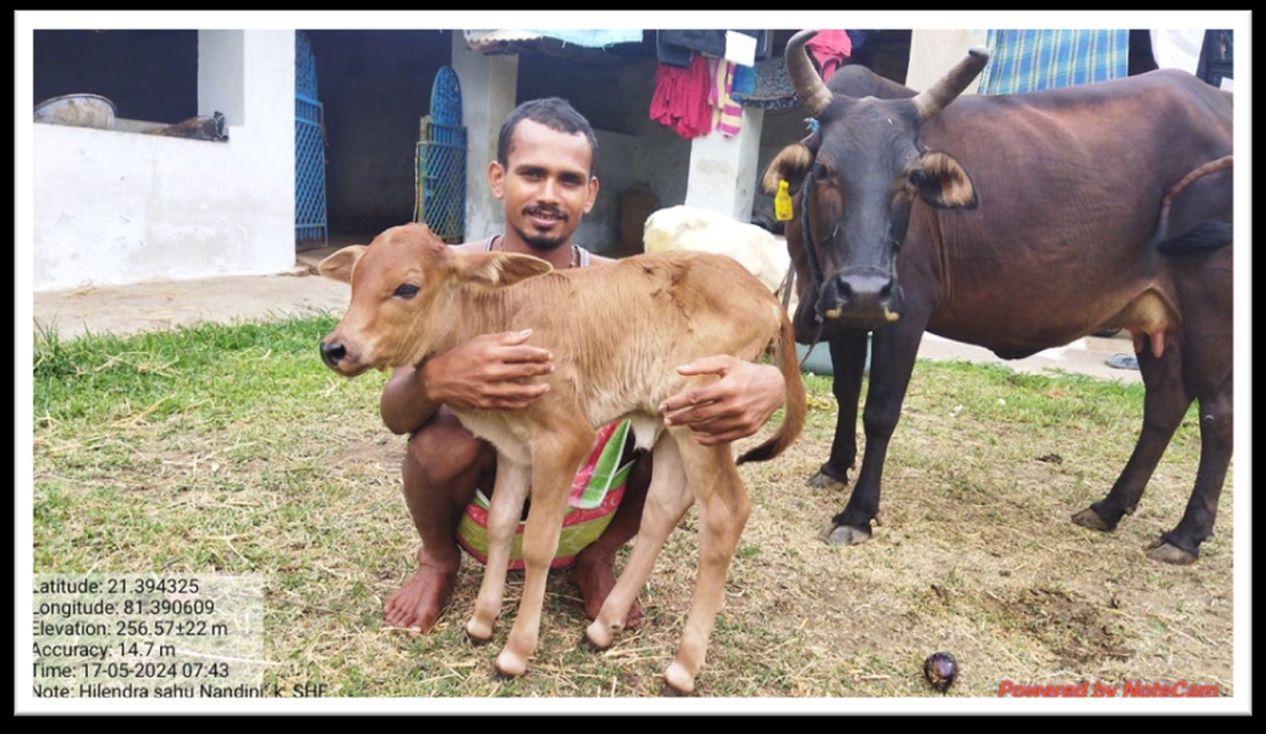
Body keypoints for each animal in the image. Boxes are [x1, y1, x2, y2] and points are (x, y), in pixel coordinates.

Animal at [764, 28, 1230, 564]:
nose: (866, 288)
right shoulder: (844, 309)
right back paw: (1109, 507)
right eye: (823, 171)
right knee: (1166, 403)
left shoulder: (905, 311)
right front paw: (834, 469)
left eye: (911, 178)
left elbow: (880, 411)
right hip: (1155, 317)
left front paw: (858, 514)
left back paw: (1185, 535)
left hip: (1212, 310)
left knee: (1218, 415)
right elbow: (845, 390)